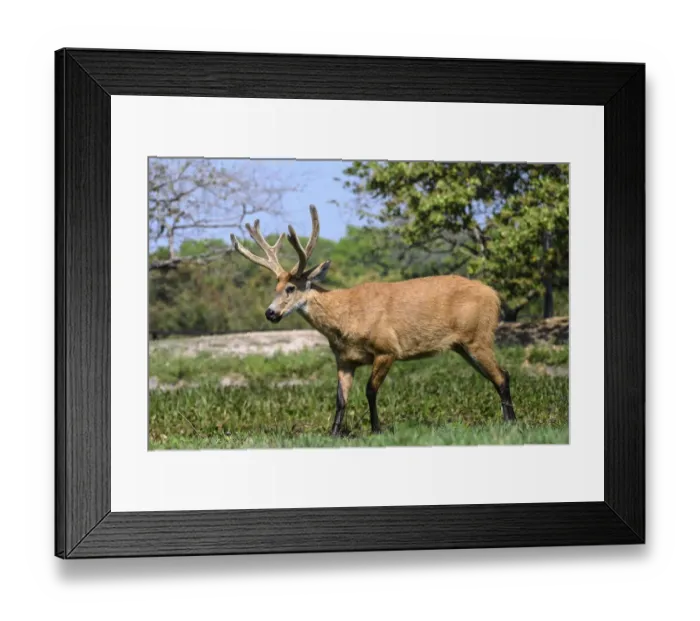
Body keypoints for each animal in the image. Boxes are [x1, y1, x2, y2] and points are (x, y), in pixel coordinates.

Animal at [231, 205, 516, 437]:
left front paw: (377, 429)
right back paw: (507, 420)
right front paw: (334, 433)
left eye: (290, 288)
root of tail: (495, 295)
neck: (345, 319)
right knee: (499, 375)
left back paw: (511, 423)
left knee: (502, 376)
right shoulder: (344, 359)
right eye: (275, 287)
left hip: (479, 336)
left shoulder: (387, 348)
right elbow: (340, 399)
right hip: (463, 345)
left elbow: (370, 390)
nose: (270, 313)